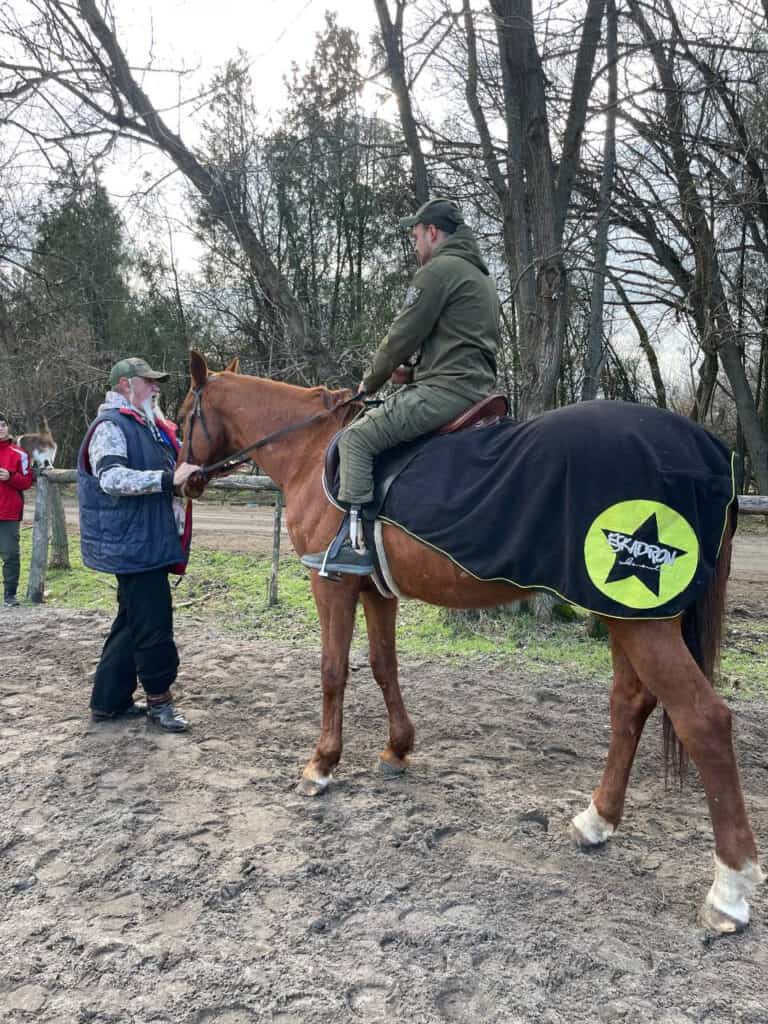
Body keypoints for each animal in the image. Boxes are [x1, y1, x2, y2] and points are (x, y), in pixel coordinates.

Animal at [180, 354, 765, 937]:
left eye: (184, 414)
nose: (183, 480)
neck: (310, 446)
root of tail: (706, 449)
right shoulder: (376, 590)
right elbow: (383, 665)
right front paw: (397, 749)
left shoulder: (333, 585)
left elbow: (332, 670)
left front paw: (321, 765)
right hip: (625, 617)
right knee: (630, 706)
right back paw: (597, 821)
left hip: (643, 621)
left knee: (704, 721)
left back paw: (730, 889)